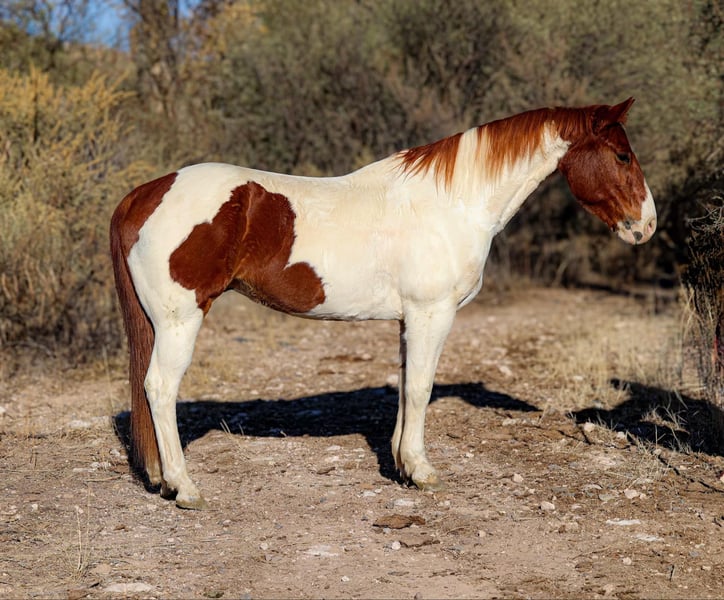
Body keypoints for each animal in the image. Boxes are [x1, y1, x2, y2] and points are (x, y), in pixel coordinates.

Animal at [110, 98, 656, 509]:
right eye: (621, 156)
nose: (646, 226)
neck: (451, 203)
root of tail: (144, 194)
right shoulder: (431, 314)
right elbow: (419, 389)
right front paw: (422, 471)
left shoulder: (408, 320)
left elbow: (404, 387)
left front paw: (400, 465)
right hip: (180, 321)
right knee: (159, 389)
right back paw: (185, 488)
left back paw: (161, 479)